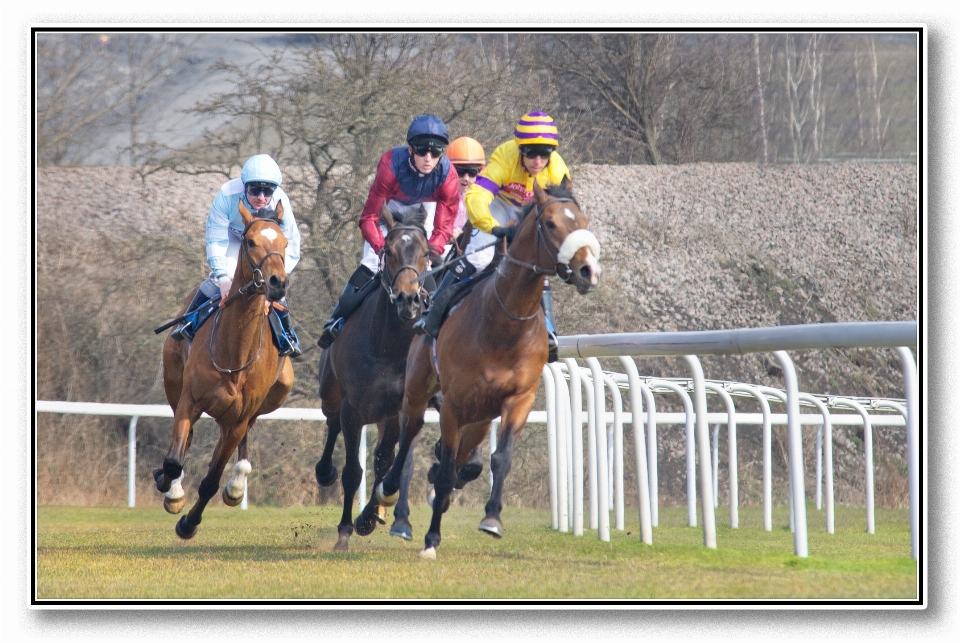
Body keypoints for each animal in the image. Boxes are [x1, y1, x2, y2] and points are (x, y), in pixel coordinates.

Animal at [155, 200, 292, 540]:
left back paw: (237, 484)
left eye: (285, 243)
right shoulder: (190, 400)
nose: (277, 283)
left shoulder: (240, 418)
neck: (234, 353)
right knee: (185, 441)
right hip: (174, 382)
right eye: (251, 241)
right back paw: (173, 488)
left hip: (271, 397)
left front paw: (189, 523)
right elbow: (174, 461)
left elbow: (210, 481)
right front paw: (168, 484)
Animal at [316, 204, 432, 552]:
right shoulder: (353, 408)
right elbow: (353, 471)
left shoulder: (396, 410)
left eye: (426, 253)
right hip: (330, 393)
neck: (387, 346)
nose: (408, 299)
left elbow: (383, 460)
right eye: (388, 251)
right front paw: (344, 531)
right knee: (331, 424)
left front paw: (368, 516)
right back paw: (324, 471)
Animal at [370, 180, 600, 560]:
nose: (588, 270)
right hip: (419, 392)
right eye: (550, 223)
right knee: (408, 440)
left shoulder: (519, 399)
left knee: (464, 458)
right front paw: (431, 539)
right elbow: (444, 469)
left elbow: (499, 459)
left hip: (480, 415)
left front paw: (492, 519)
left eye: (582, 220)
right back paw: (392, 496)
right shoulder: (452, 404)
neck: (504, 325)